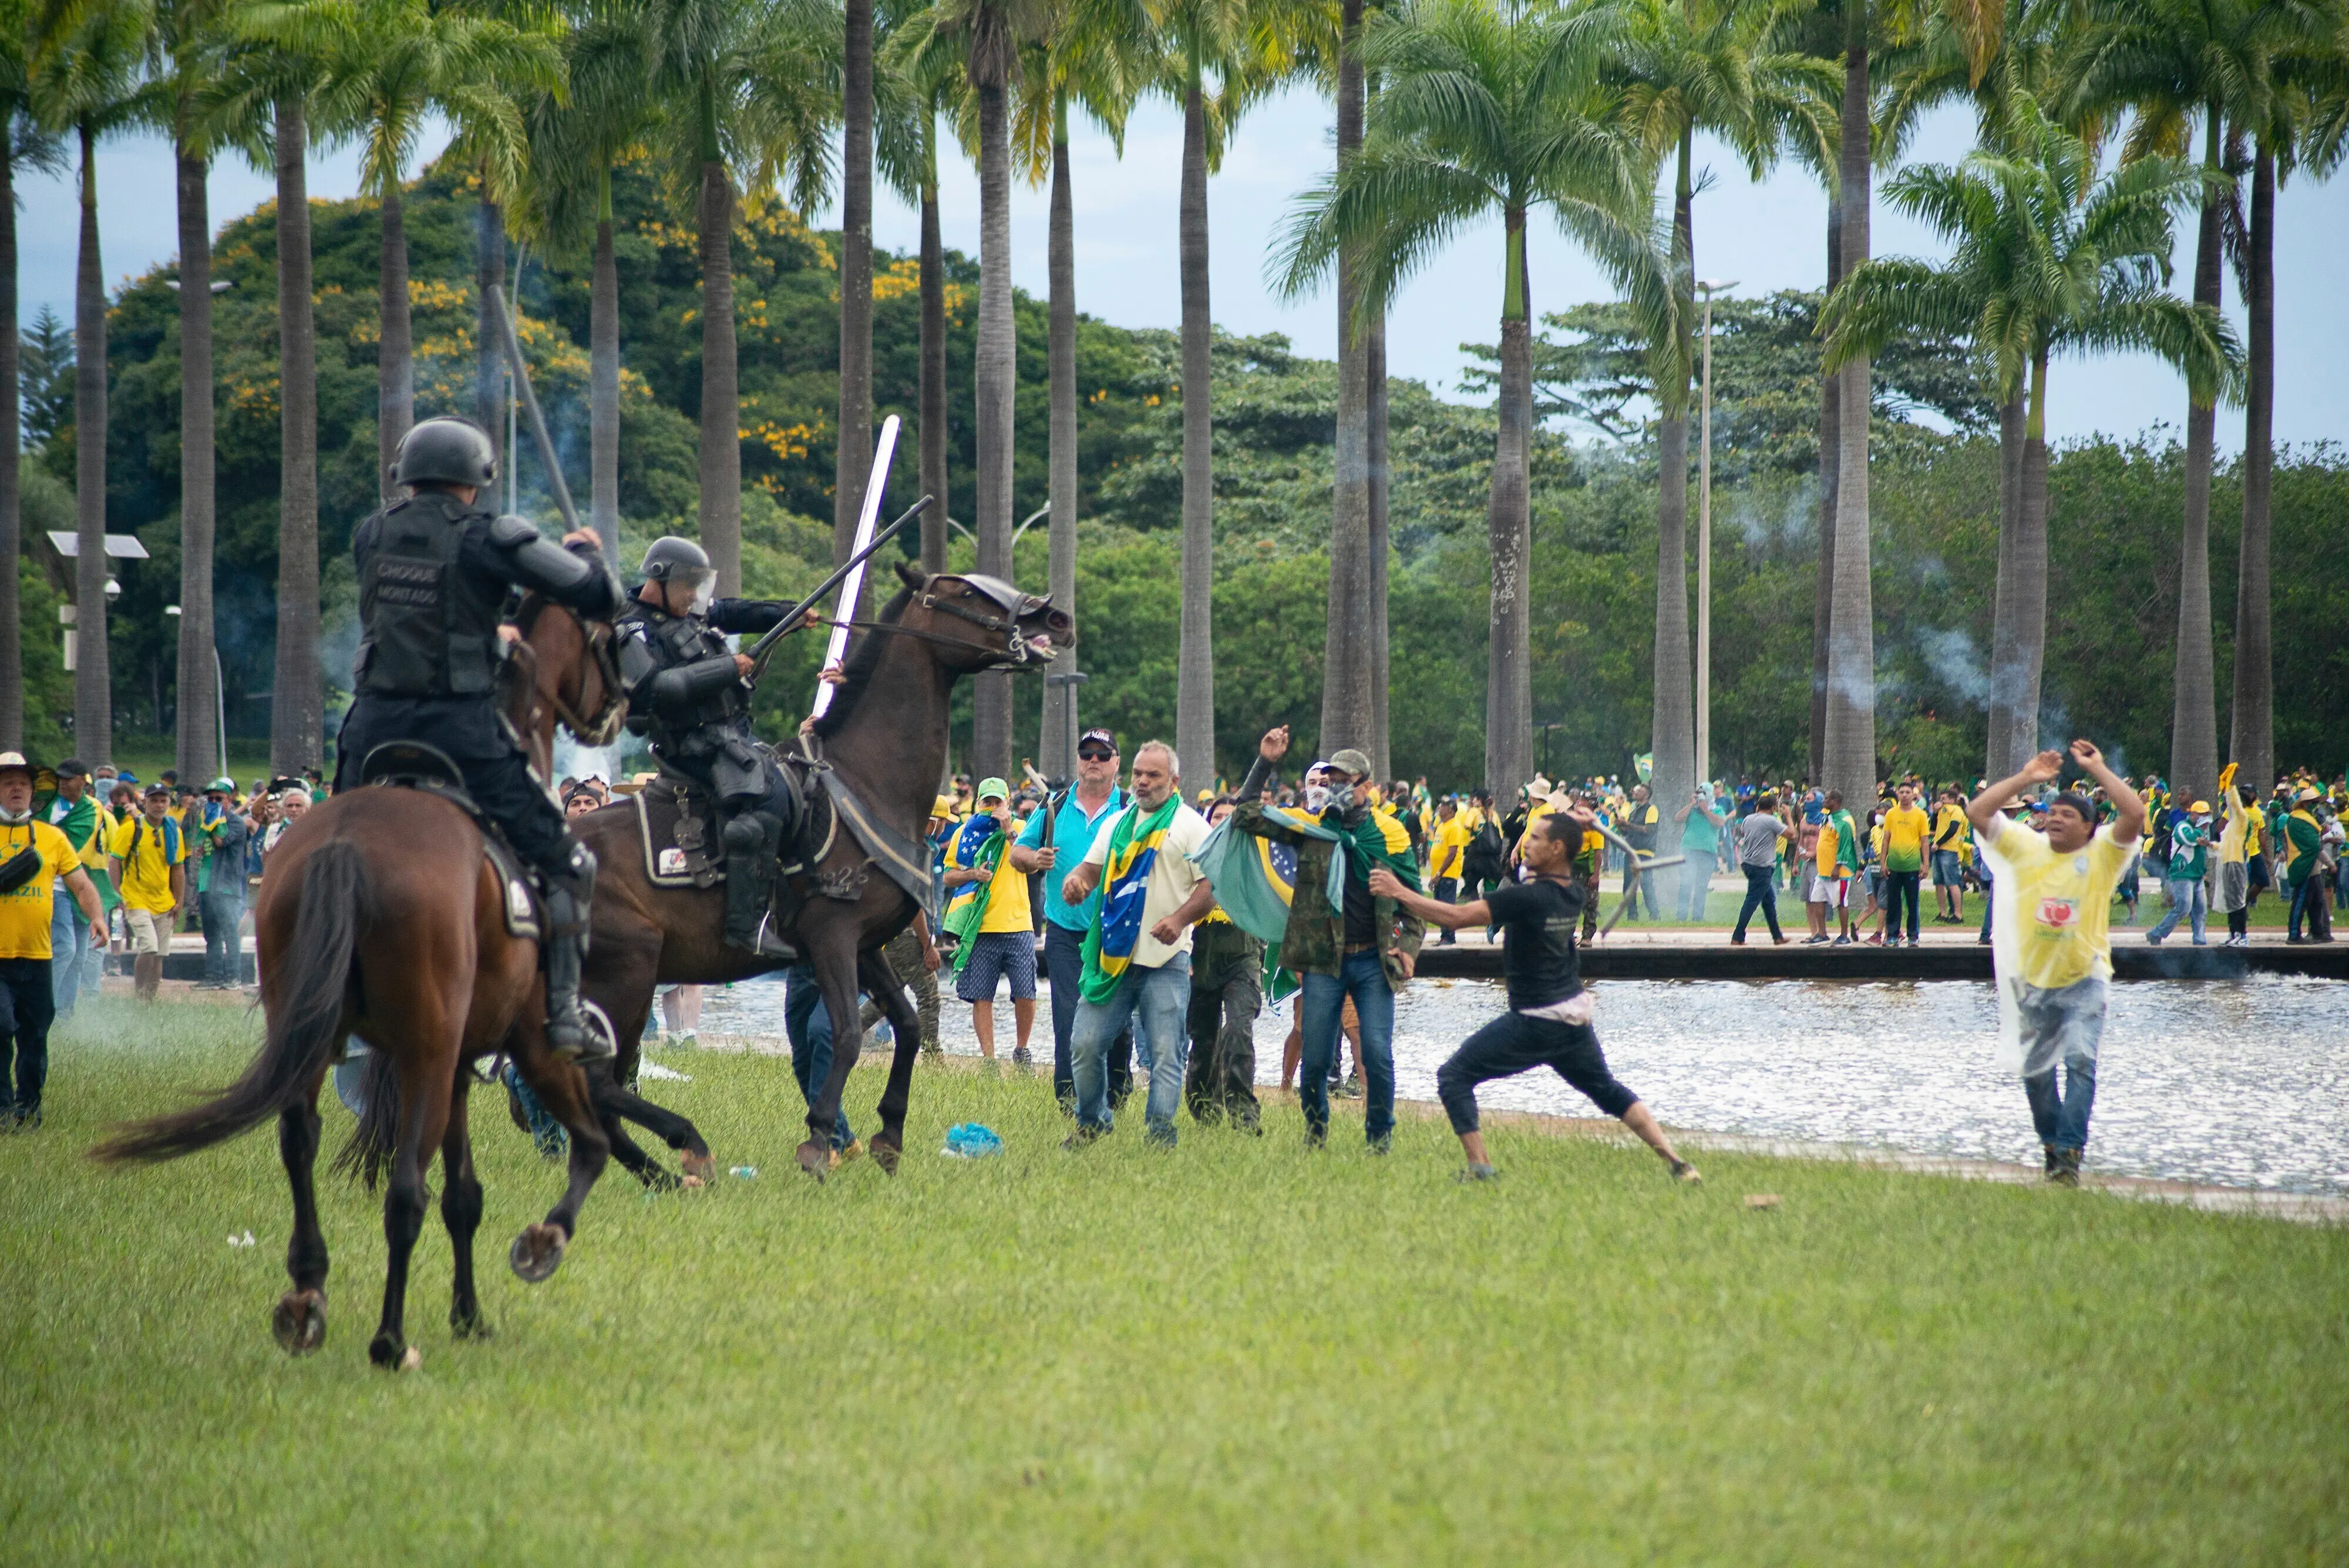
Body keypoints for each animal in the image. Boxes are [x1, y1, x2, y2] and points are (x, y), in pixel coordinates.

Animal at [97, 594, 630, 1361]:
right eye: (605, 635)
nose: (618, 709)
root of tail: (346, 846)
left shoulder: (459, 1063)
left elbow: (465, 1197)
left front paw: (468, 1314)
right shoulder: (519, 1044)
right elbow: (586, 1148)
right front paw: (541, 1242)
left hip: (326, 1039)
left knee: (301, 1142)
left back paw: (307, 1295)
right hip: (430, 1055)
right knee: (405, 1191)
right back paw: (388, 1338)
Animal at [573, 556, 1071, 1183]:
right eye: (959, 590)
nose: (1054, 617)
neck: (868, 779)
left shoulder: (864, 945)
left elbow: (906, 1026)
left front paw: (888, 1135)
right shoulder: (831, 937)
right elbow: (850, 1035)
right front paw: (817, 1142)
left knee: (599, 1087)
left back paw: (661, 1172)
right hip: (629, 975)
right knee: (598, 1081)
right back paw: (685, 1145)